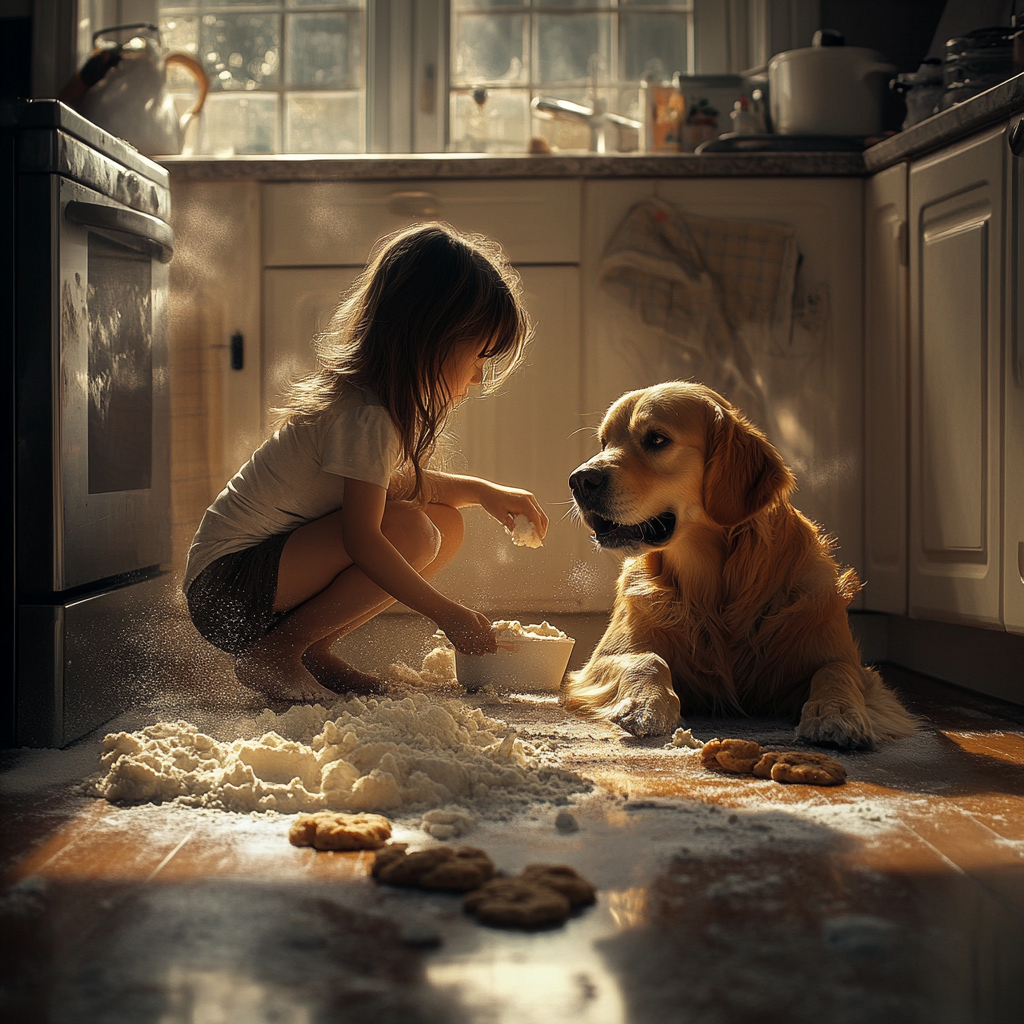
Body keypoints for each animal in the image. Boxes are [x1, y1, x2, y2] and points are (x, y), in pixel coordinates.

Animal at [565, 380, 917, 749]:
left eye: (657, 439)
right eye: (604, 442)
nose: (579, 480)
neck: (715, 590)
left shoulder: (847, 661)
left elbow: (836, 670)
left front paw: (837, 714)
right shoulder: (604, 658)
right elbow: (647, 659)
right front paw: (645, 705)